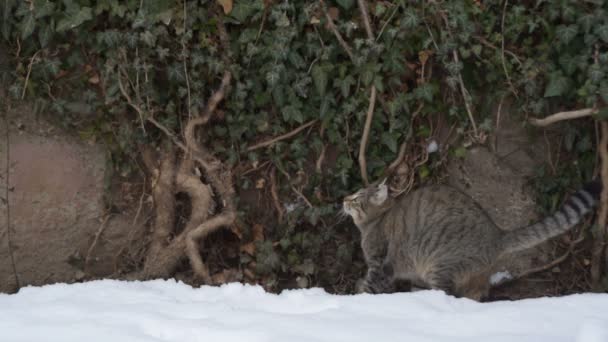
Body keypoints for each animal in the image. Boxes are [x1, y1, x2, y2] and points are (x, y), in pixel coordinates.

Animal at [344, 179, 600, 300]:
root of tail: (497, 234)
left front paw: (357, 296)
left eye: (356, 198)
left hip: (440, 263)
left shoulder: (380, 263)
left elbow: (370, 284)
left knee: (447, 295)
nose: (344, 199)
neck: (373, 223)